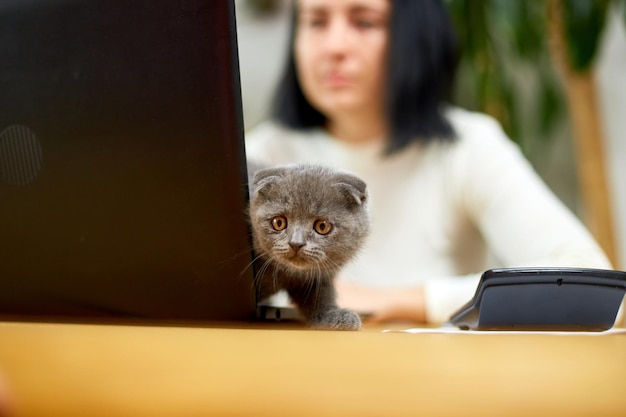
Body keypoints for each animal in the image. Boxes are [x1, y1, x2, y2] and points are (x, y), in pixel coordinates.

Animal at [247, 162, 368, 328]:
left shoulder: (318, 276)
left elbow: (320, 294)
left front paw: (331, 315)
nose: (296, 243)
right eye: (278, 222)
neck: (288, 273)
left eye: (322, 226)